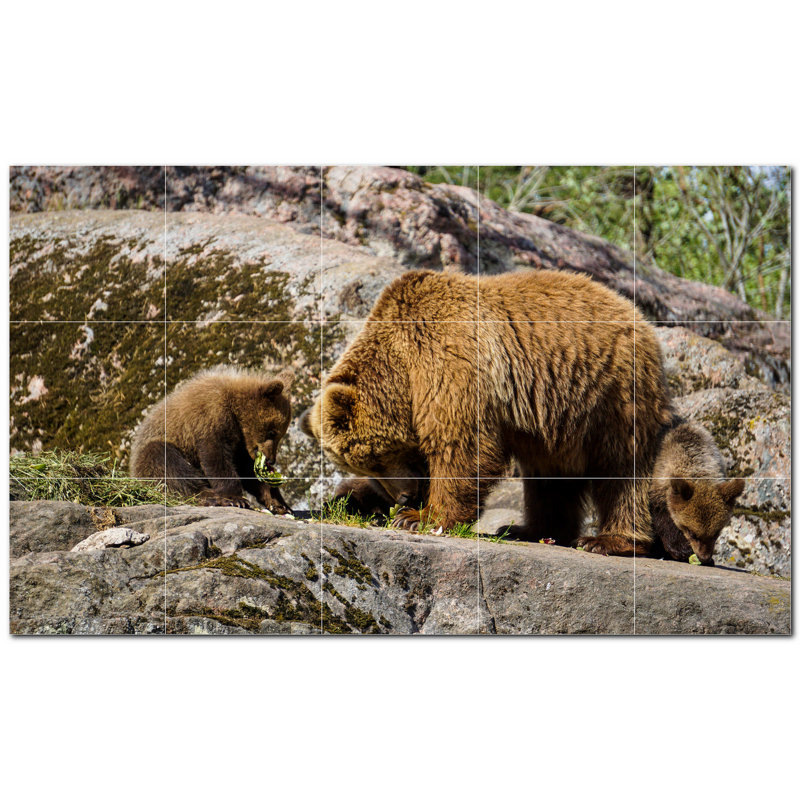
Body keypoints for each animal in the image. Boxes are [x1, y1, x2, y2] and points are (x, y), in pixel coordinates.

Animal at [130, 366, 293, 511]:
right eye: (272, 432)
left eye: (280, 434)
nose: (271, 459)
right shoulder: (209, 418)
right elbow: (216, 458)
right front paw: (235, 498)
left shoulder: (241, 443)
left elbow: (247, 468)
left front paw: (278, 502)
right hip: (151, 457)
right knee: (165, 462)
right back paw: (211, 497)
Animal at [301, 268, 673, 556]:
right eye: (365, 467)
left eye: (375, 458)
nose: (404, 495)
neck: (401, 368)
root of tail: (638, 316)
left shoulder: (449, 358)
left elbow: (462, 444)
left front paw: (418, 517)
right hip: (555, 416)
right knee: (549, 475)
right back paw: (529, 529)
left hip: (611, 392)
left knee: (621, 469)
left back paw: (609, 540)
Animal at [648, 419, 745, 565]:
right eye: (692, 532)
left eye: (716, 533)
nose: (704, 557)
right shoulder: (659, 485)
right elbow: (662, 517)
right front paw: (681, 550)